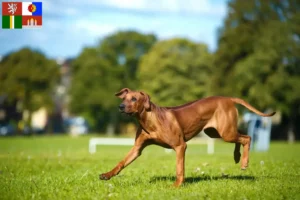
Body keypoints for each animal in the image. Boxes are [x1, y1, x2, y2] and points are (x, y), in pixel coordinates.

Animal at [99, 88, 276, 187]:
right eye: (123, 98)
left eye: (134, 99)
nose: (121, 106)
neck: (149, 120)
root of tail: (227, 98)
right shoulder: (137, 148)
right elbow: (121, 163)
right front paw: (107, 174)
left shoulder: (180, 146)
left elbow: (179, 168)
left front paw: (177, 185)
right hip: (217, 131)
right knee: (242, 134)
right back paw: (237, 156)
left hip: (226, 132)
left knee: (247, 138)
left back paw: (244, 162)